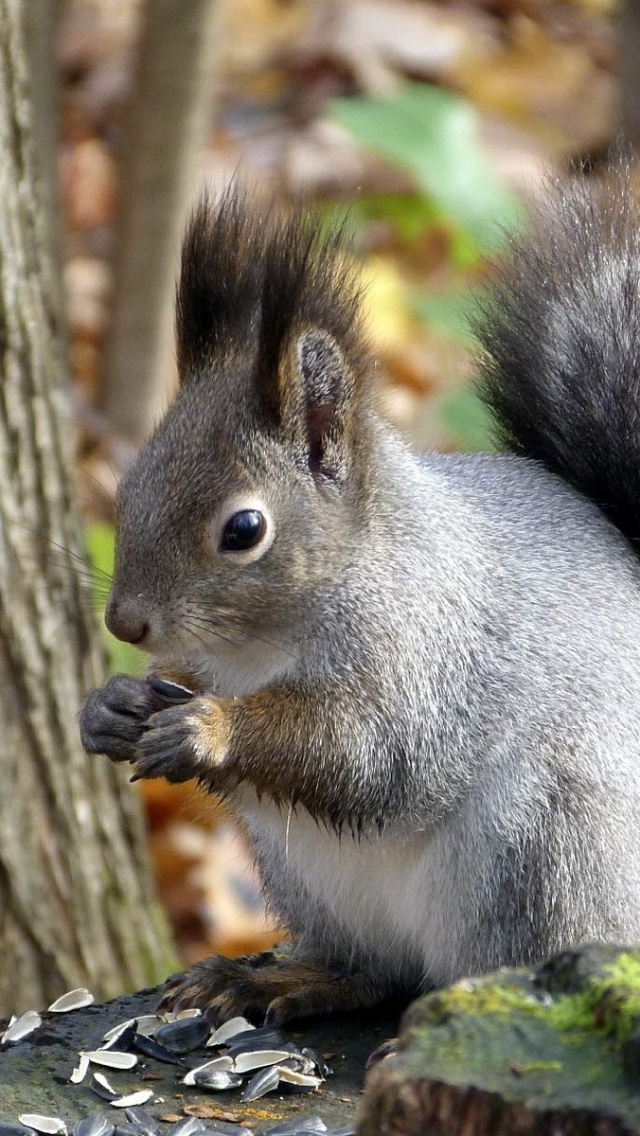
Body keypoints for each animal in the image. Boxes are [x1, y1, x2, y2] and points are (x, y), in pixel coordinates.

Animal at [81, 170, 640, 1031]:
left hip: (542, 849)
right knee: (376, 973)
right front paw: (113, 706)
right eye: (130, 486)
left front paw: (211, 728)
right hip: (305, 876)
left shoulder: (428, 654)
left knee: (491, 970)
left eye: (244, 529)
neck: (267, 643)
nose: (124, 623)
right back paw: (276, 982)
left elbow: (370, 753)